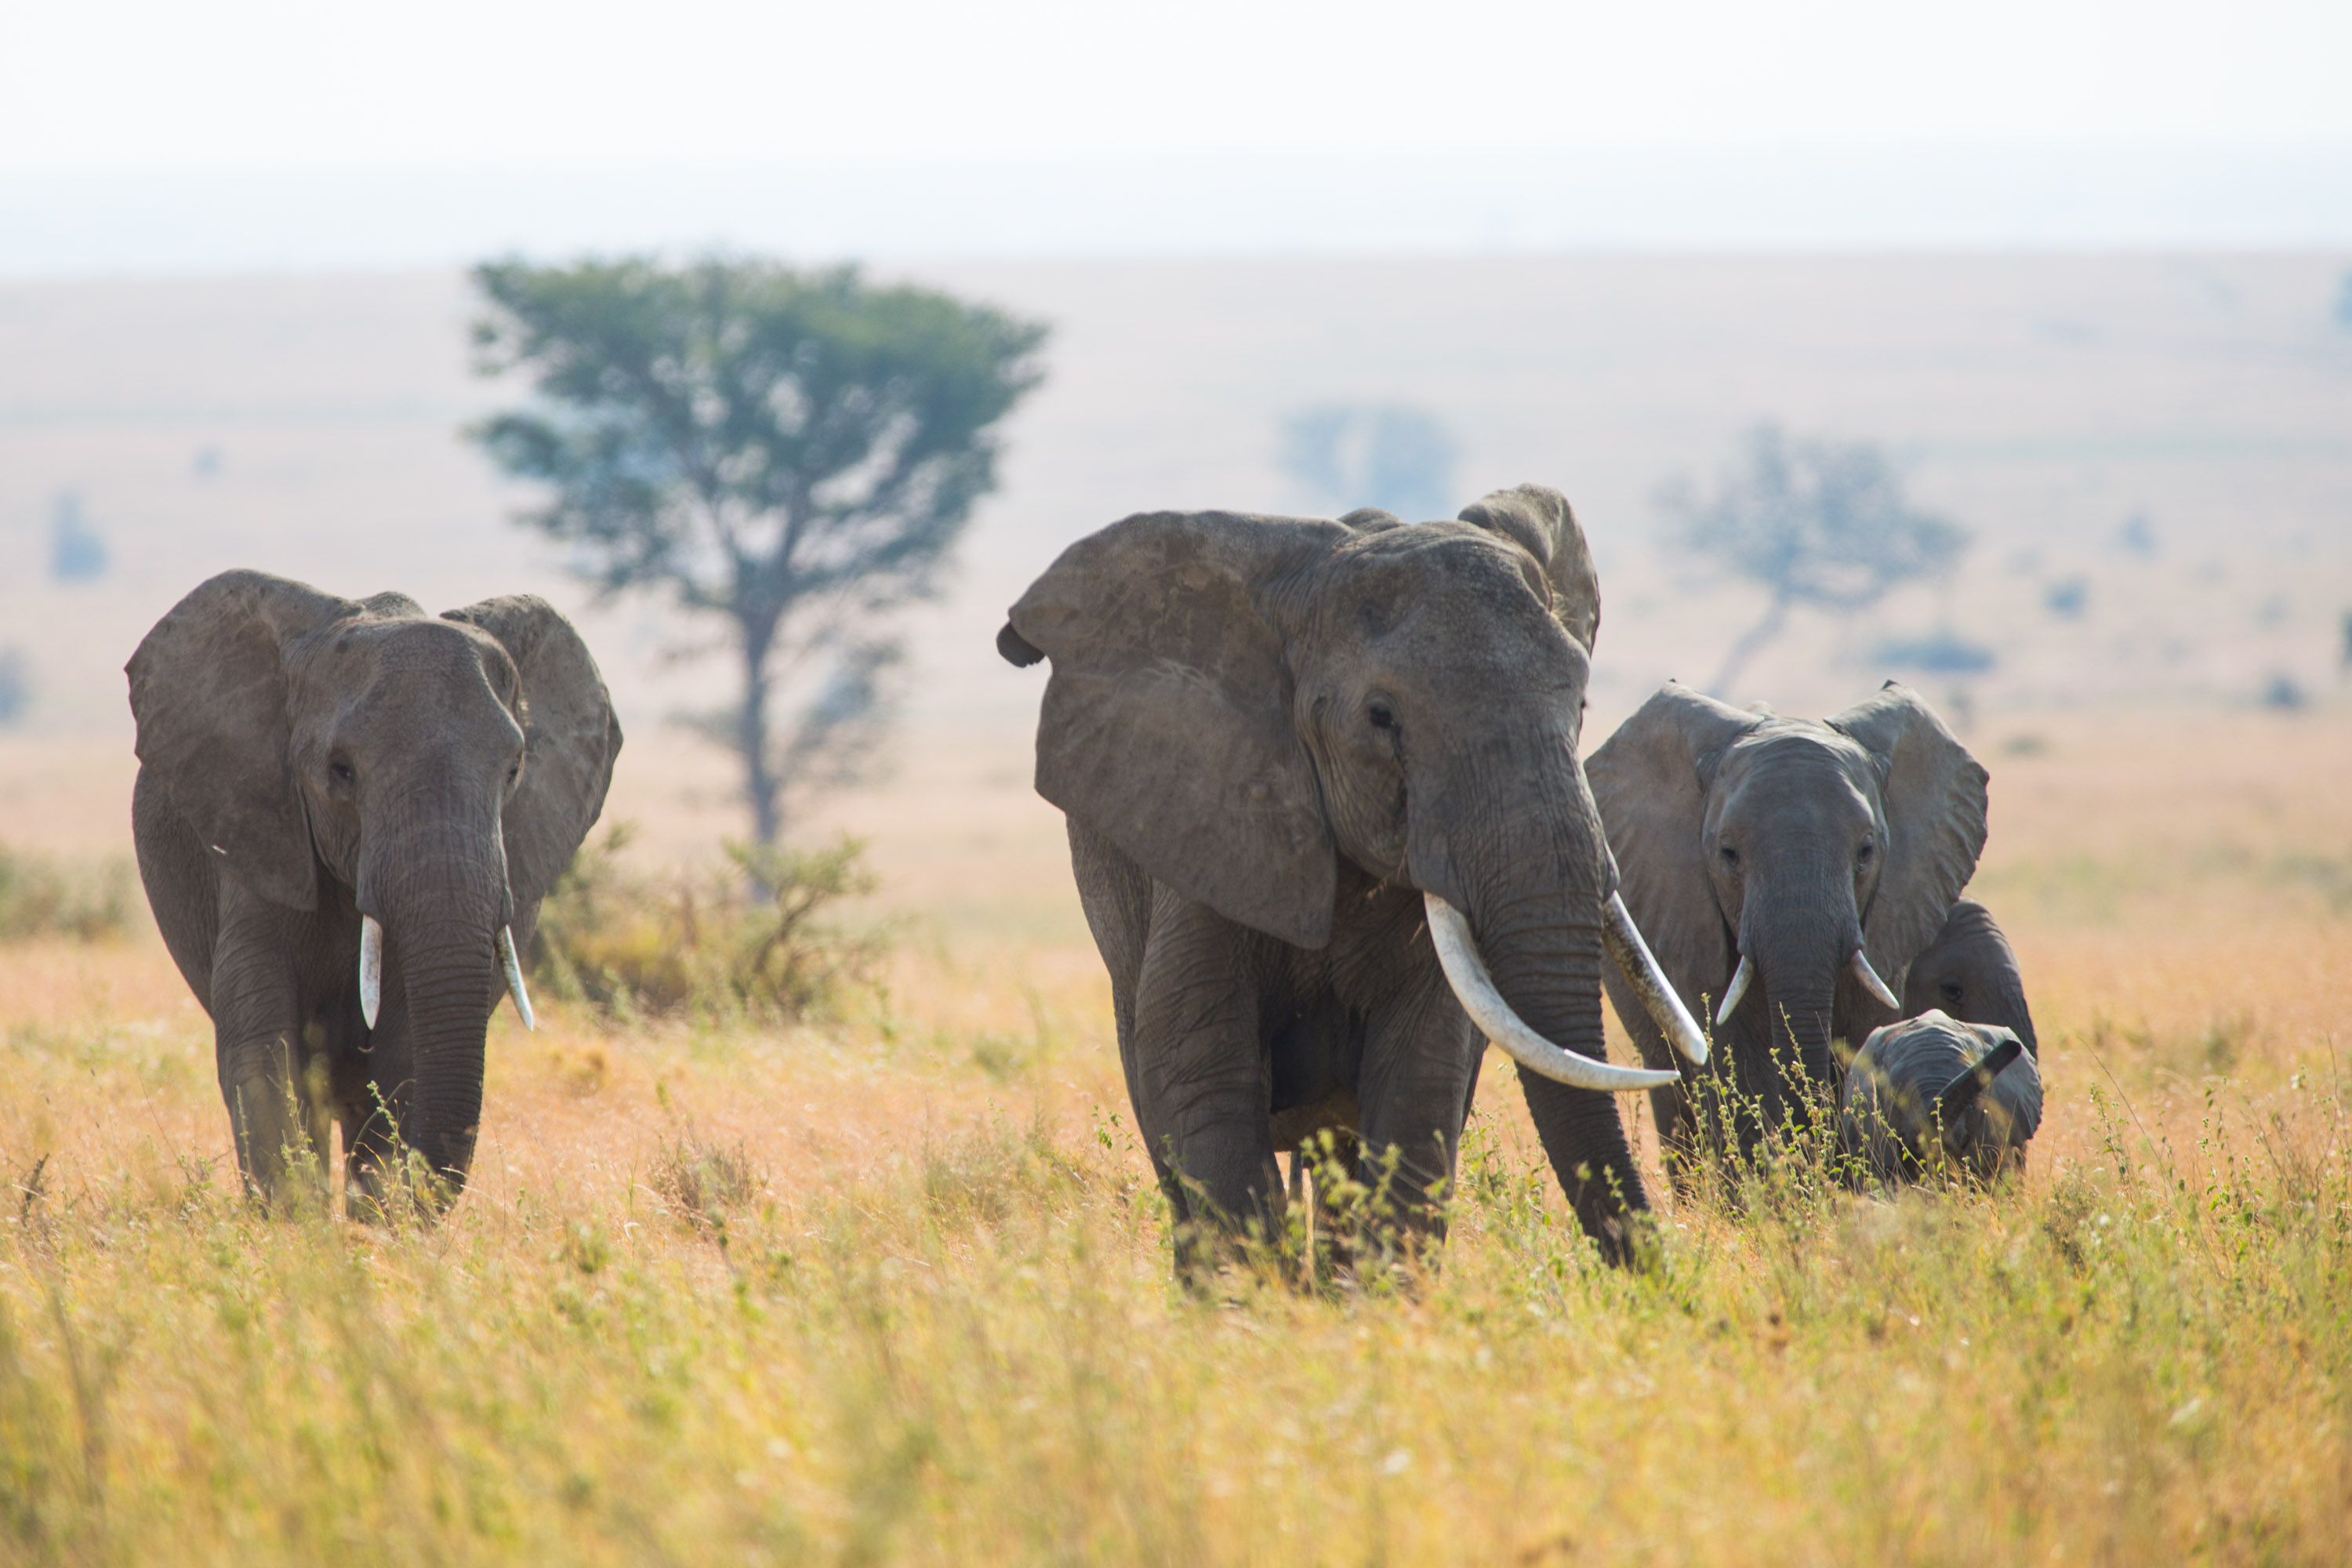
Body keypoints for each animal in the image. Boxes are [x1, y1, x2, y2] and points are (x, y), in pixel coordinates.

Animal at [128, 570, 621, 1212]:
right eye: (341, 771)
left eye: (514, 770)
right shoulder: (257, 829)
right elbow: (264, 1052)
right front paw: (301, 1223)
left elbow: (404, 1057)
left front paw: (375, 1221)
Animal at [996, 486, 1707, 1267]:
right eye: (1380, 716)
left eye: (1580, 706)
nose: (1663, 1277)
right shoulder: (1204, 829)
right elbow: (1202, 1073)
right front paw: (1251, 1296)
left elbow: (1418, 1082)